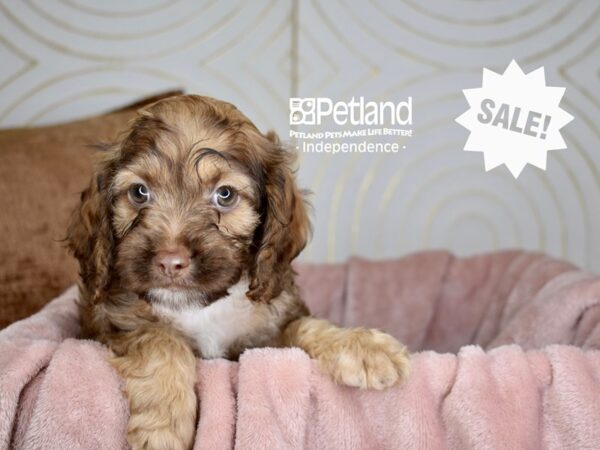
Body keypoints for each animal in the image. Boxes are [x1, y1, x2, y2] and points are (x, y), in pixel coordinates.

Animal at [67, 93, 412, 448]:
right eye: (139, 192)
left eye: (225, 195)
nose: (170, 261)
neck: (201, 308)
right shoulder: (109, 325)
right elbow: (161, 339)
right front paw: (162, 427)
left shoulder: (264, 341)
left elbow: (303, 326)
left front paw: (362, 347)